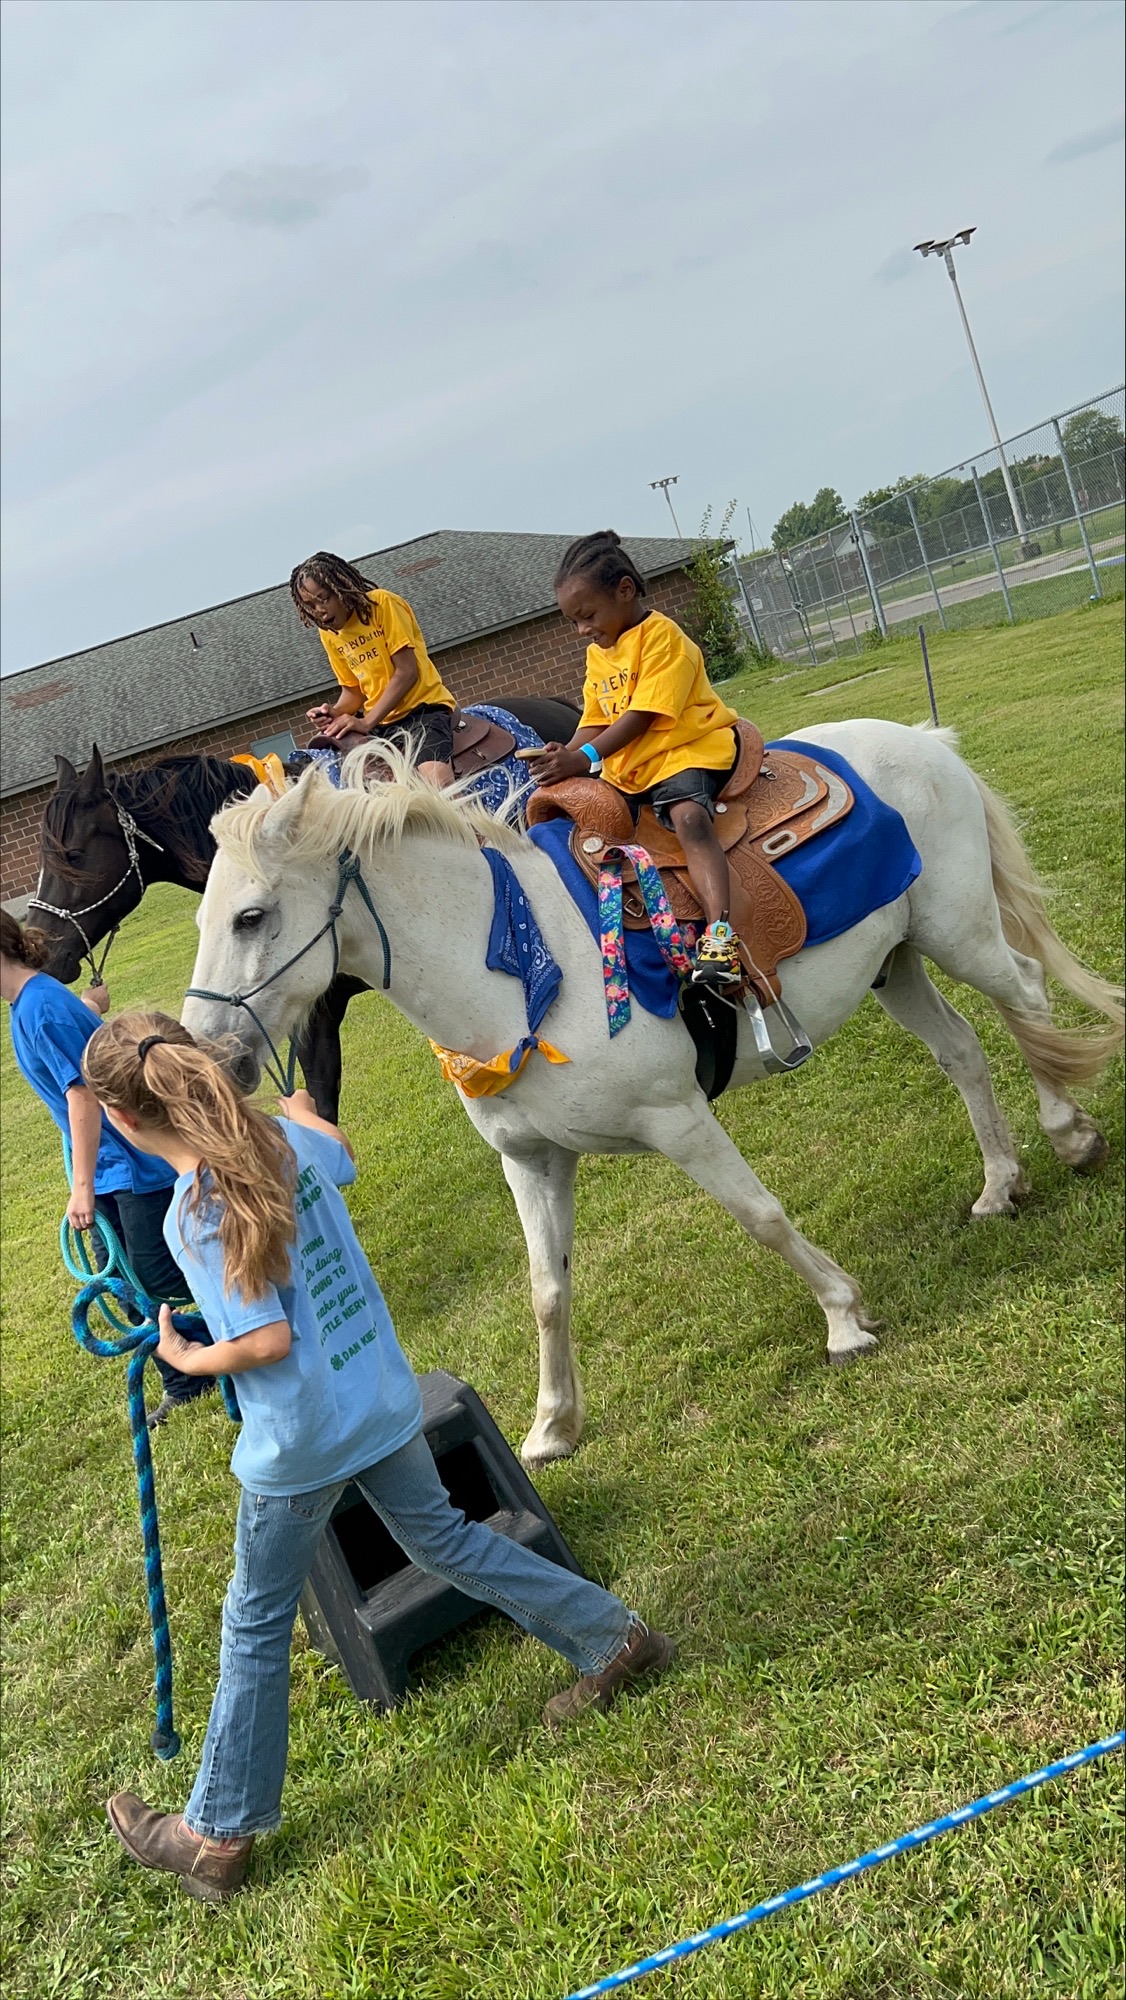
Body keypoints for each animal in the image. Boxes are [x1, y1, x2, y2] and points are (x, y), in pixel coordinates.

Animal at [183, 724, 1120, 1472]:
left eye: (252, 917)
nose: (210, 1056)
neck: (522, 970)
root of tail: (922, 740)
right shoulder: (532, 1161)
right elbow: (546, 1289)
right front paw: (553, 1426)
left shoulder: (679, 1120)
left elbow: (761, 1216)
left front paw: (843, 1317)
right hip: (898, 964)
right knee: (963, 1051)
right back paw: (999, 1183)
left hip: (961, 934)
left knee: (1027, 996)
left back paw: (1070, 1136)